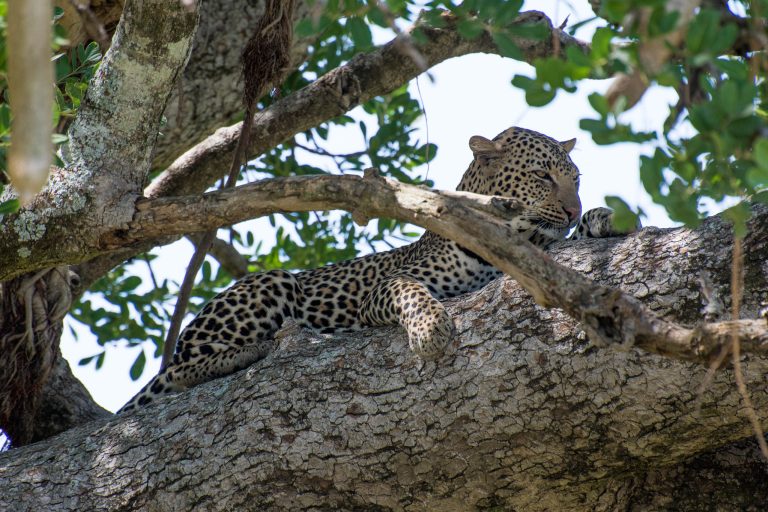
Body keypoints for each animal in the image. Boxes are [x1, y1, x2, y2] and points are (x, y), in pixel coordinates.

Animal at [118, 126, 636, 414]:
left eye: (576, 181)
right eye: (542, 176)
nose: (573, 209)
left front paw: (604, 221)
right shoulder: (386, 289)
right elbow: (409, 290)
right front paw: (430, 330)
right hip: (270, 283)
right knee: (182, 371)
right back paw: (253, 350)